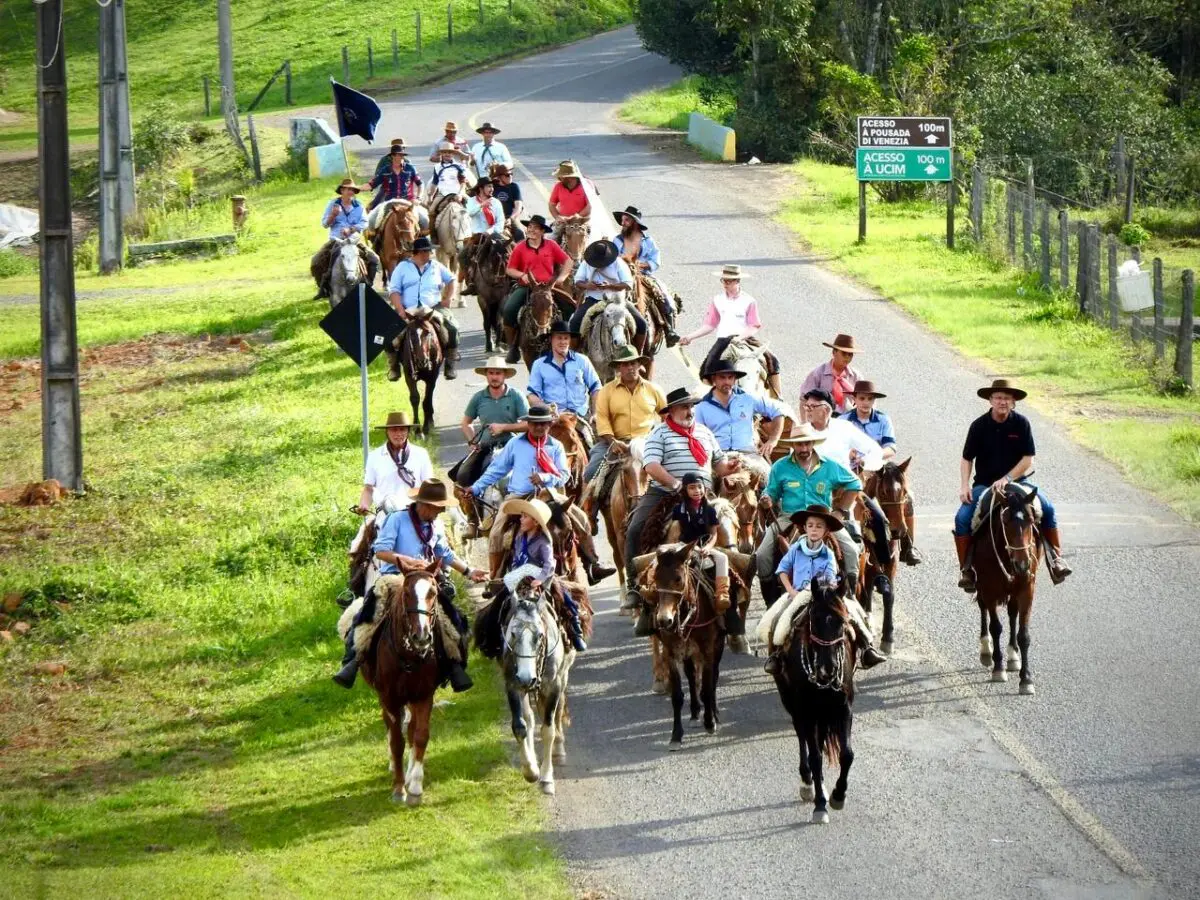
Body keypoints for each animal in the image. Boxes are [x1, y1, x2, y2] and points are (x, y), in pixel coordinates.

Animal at [343, 566, 446, 806]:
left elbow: (420, 735)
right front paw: (399, 790)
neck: (409, 655)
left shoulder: (423, 695)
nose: (421, 636)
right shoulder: (389, 698)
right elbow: (397, 741)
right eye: (406, 593)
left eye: (433, 593)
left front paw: (415, 786)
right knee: (391, 729)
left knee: (409, 729)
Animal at [501, 564, 576, 796]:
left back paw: (559, 751)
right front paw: (531, 771)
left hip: (562, 677)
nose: (527, 677)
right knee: (531, 718)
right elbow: (520, 726)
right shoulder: (512, 685)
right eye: (513, 634)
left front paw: (546, 779)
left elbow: (548, 729)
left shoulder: (553, 686)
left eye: (540, 635)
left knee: (557, 714)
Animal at [772, 580, 859, 830]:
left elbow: (847, 754)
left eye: (841, 621)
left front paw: (839, 795)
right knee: (804, 740)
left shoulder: (844, 709)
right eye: (814, 619)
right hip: (793, 704)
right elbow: (816, 758)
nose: (827, 669)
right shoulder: (806, 711)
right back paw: (808, 783)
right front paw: (820, 806)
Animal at [964, 487, 1041, 696]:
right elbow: (996, 627)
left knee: (1012, 614)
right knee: (983, 610)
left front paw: (1026, 679)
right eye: (1005, 521)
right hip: (980, 585)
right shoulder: (989, 589)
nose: (1023, 564)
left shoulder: (1027, 589)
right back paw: (986, 651)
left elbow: (1024, 635)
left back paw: (1013, 656)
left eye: (1031, 520)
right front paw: (998, 669)